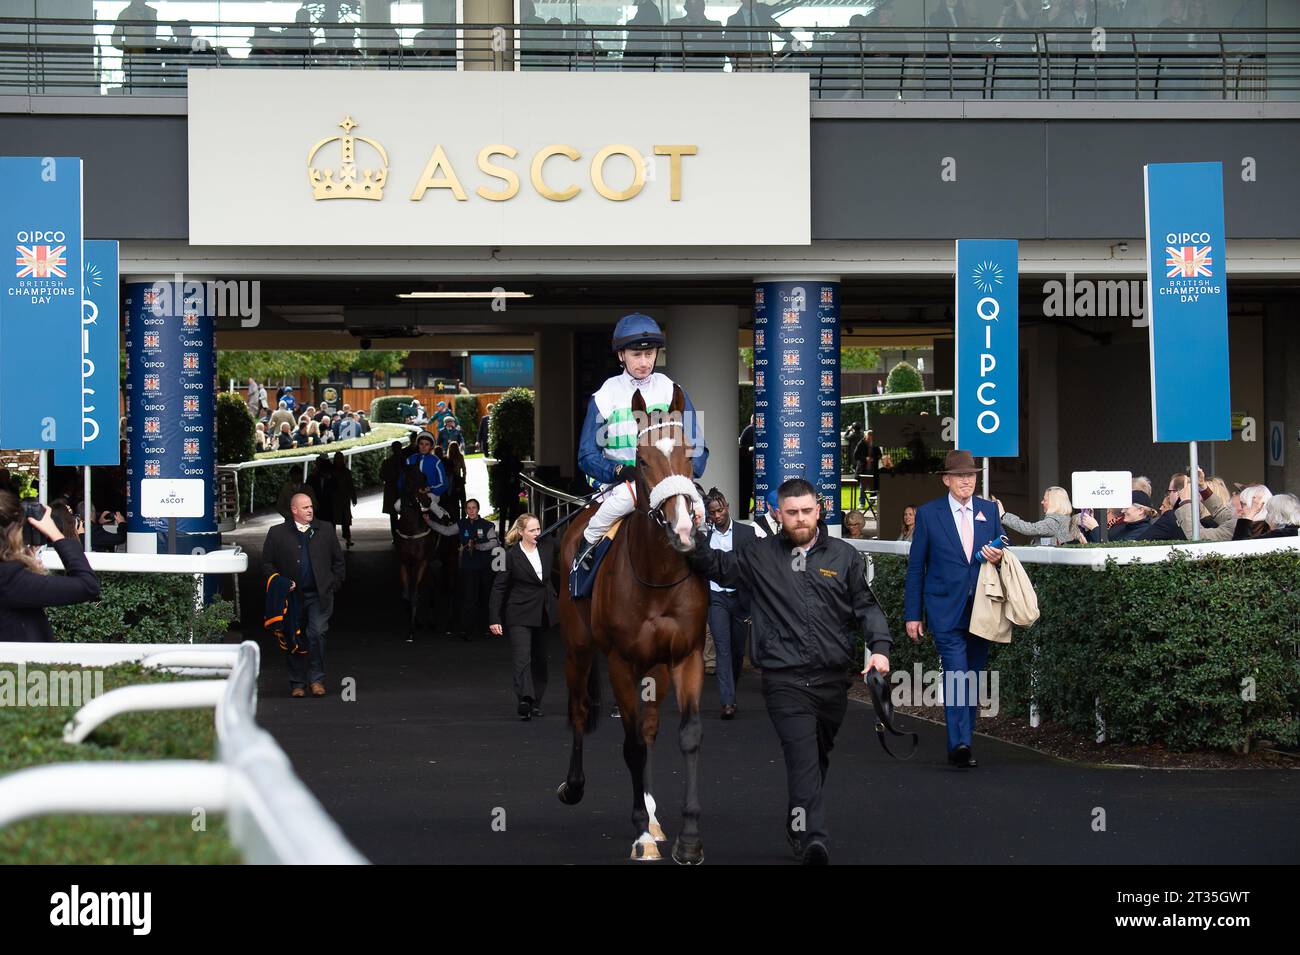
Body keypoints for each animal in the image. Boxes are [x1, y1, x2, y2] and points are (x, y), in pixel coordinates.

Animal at [553, 382, 707, 867]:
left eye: (689, 454)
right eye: (640, 460)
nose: (683, 529)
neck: (657, 576)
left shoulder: (686, 655)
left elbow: (685, 736)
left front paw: (687, 839)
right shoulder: (620, 662)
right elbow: (631, 745)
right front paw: (640, 835)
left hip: (655, 665)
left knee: (651, 726)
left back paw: (655, 817)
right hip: (577, 647)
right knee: (579, 710)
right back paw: (575, 787)